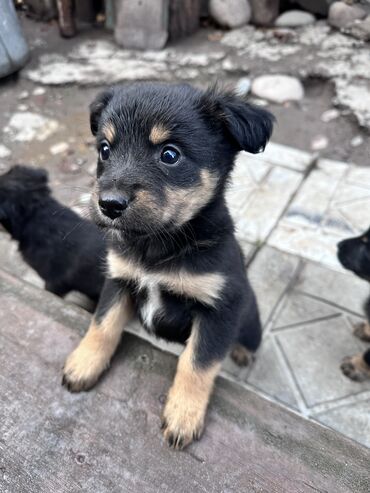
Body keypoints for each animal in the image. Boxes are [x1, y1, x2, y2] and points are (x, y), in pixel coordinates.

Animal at [61, 82, 274, 448]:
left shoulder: (220, 309)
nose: (108, 205)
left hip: (250, 320)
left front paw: (183, 415)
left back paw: (243, 354)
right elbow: (102, 326)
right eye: (104, 149)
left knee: (246, 341)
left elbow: (197, 362)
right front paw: (84, 363)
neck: (157, 247)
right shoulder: (119, 280)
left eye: (170, 154)